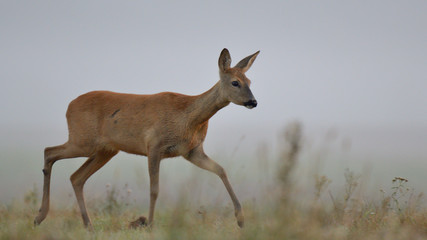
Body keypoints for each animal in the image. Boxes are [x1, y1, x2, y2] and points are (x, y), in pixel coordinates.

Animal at [33, 48, 260, 229]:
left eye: (250, 81)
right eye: (235, 82)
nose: (253, 102)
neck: (188, 117)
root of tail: (69, 106)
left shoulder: (192, 151)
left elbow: (221, 170)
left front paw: (241, 219)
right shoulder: (154, 146)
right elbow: (154, 189)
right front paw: (149, 224)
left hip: (105, 150)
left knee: (76, 177)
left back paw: (87, 225)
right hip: (82, 140)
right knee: (49, 151)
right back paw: (40, 217)